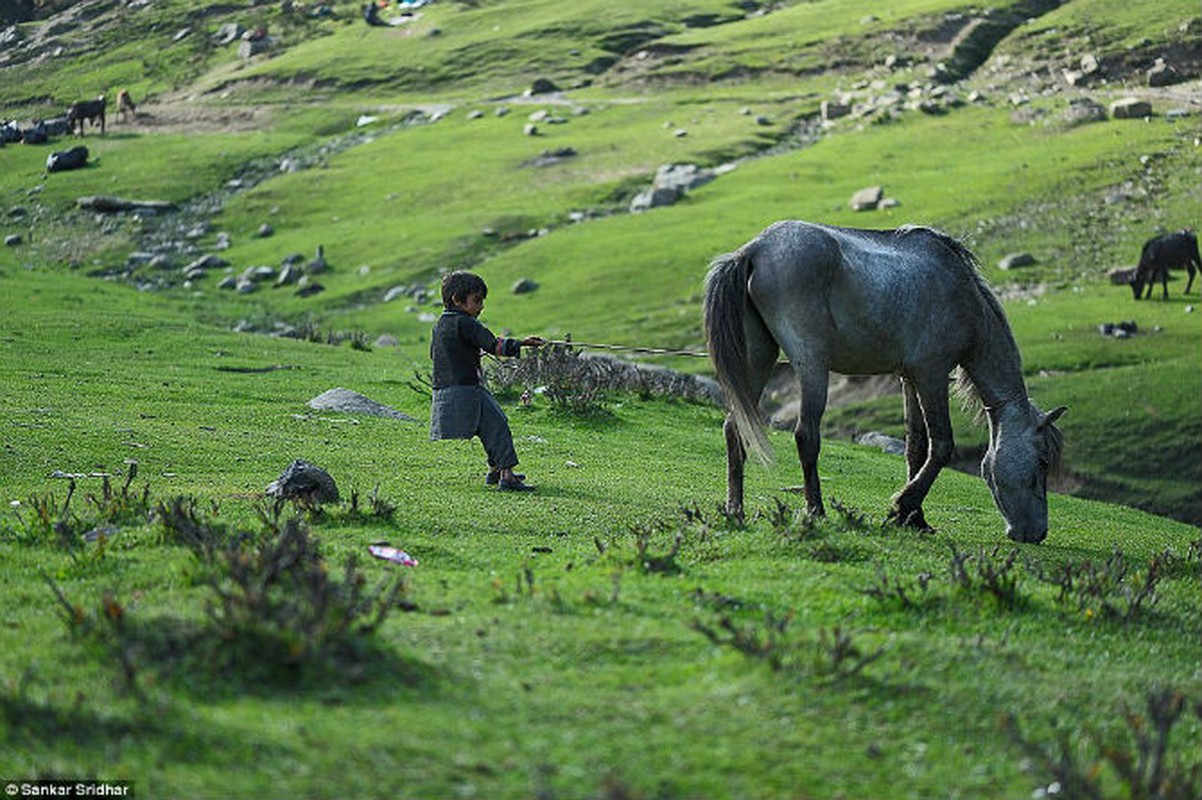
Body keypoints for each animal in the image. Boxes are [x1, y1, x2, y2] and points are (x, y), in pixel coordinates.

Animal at [701, 218, 1067, 542]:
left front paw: (915, 518)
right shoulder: (932, 376)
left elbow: (916, 448)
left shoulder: (909, 379)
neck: (963, 297)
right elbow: (941, 445)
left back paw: (735, 509)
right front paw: (902, 506)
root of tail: (754, 249)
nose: (1037, 533)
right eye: (1042, 463)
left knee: (734, 427)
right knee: (806, 436)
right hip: (812, 367)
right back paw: (816, 511)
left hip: (758, 360)